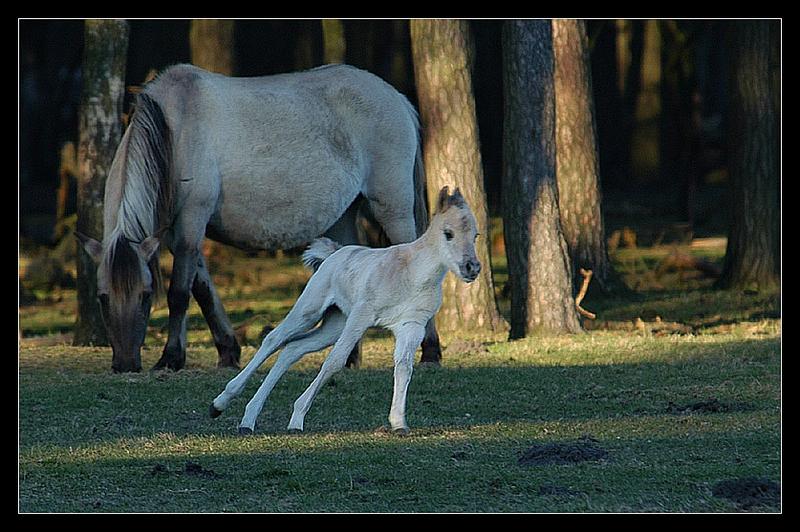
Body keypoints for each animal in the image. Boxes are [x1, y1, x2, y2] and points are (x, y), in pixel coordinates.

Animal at [78, 64, 440, 374]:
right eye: (102, 297)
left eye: (145, 295)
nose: (126, 364)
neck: (174, 128)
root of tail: (397, 98)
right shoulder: (174, 233)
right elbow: (202, 289)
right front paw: (227, 352)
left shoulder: (192, 220)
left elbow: (180, 292)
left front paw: (171, 358)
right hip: (344, 217)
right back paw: (349, 357)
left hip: (392, 208)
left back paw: (430, 352)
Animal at [209, 185, 478, 434]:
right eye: (448, 233)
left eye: (475, 235)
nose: (472, 268)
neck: (412, 275)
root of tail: (334, 253)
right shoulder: (361, 316)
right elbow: (335, 361)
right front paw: (297, 417)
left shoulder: (411, 325)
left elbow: (404, 366)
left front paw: (399, 423)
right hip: (311, 309)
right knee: (274, 339)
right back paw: (223, 407)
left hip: (335, 323)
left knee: (294, 348)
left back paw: (251, 417)